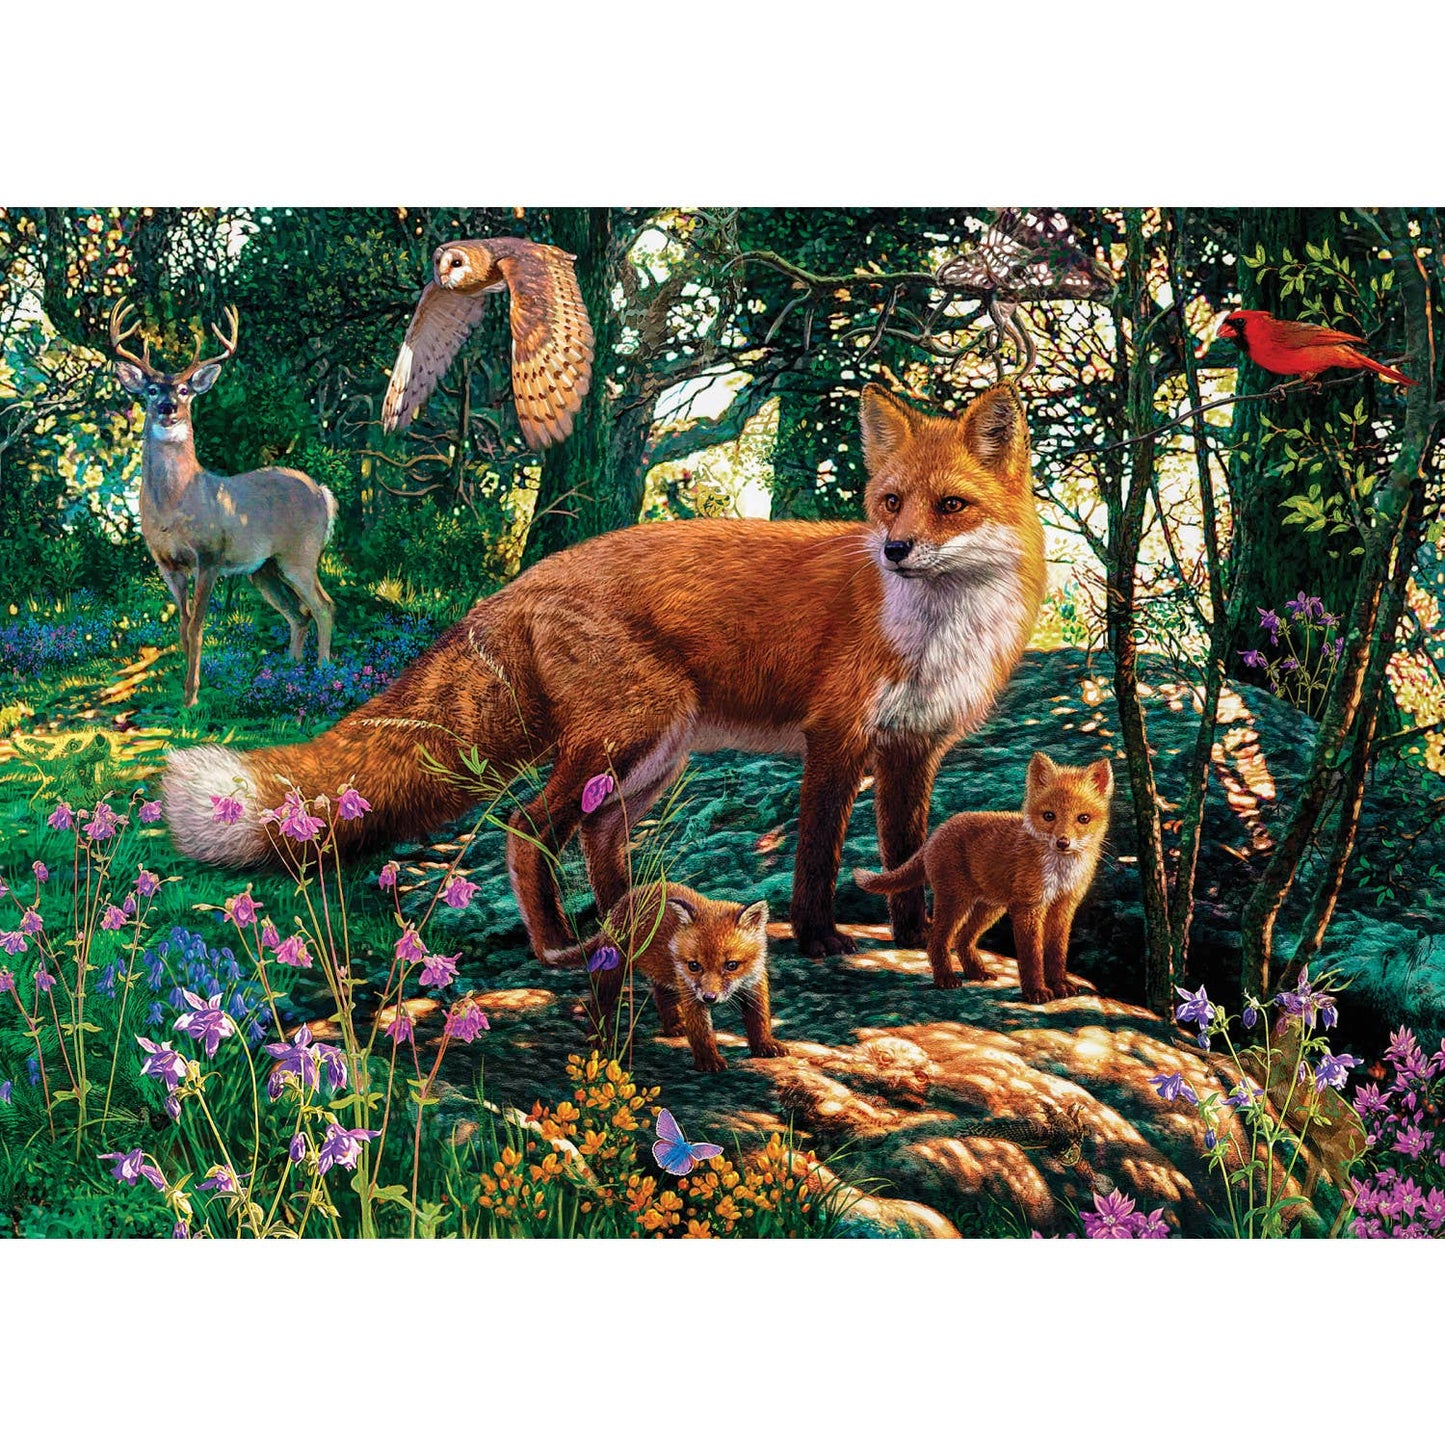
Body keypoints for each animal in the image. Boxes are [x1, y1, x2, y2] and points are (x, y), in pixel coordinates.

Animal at [109, 299, 338, 707]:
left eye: (185, 389)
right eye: (151, 390)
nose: (168, 407)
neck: (175, 506)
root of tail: (322, 492)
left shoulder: (210, 555)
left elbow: (198, 626)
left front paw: (192, 697)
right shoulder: (167, 564)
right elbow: (183, 626)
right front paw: (185, 693)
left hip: (301, 553)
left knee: (323, 606)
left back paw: (324, 672)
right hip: (263, 569)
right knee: (298, 613)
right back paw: (289, 673)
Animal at [162, 382, 1046, 963]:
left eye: (950, 506)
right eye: (890, 501)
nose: (895, 550)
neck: (936, 630)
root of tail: (525, 579)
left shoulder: (912, 748)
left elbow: (906, 853)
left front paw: (914, 939)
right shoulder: (835, 735)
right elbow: (820, 854)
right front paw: (822, 937)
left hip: (654, 756)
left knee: (597, 833)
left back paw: (629, 931)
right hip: (630, 732)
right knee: (527, 825)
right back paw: (559, 946)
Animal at [545, 881, 782, 1073]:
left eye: (731, 965)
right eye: (694, 966)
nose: (709, 998)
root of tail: (627, 898)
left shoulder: (755, 981)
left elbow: (759, 1018)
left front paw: (765, 1045)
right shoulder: (689, 989)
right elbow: (701, 1032)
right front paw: (709, 1061)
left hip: (662, 974)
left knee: (660, 995)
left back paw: (674, 1026)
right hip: (614, 970)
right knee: (600, 1001)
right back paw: (599, 1039)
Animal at [854, 752, 1113, 1003]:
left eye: (1083, 818)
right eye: (1049, 816)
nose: (1063, 842)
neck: (1060, 873)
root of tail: (937, 832)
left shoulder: (1064, 906)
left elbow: (1057, 952)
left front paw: (1060, 985)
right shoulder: (1028, 907)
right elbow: (1031, 955)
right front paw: (1036, 992)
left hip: (989, 908)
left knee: (962, 939)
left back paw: (976, 973)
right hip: (956, 902)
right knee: (938, 941)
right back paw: (945, 979)